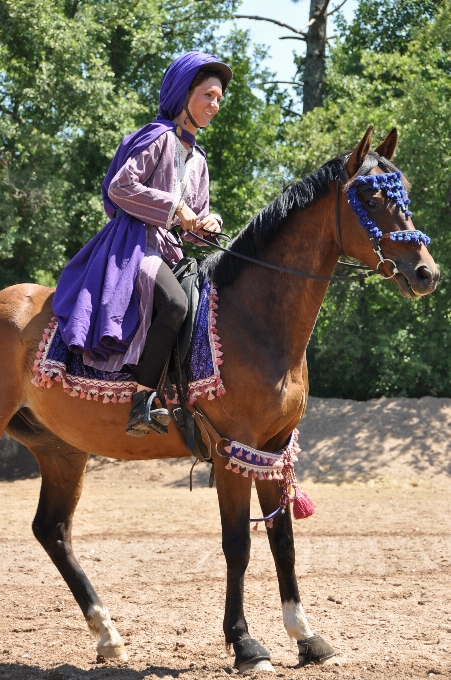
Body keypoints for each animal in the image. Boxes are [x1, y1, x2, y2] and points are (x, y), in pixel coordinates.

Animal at [0, 126, 440, 668]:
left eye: (405, 194)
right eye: (372, 198)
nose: (426, 273)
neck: (253, 318)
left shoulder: (271, 448)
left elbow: (282, 541)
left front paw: (305, 635)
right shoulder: (232, 449)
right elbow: (238, 545)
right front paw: (245, 642)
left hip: (62, 449)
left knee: (53, 530)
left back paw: (107, 635)